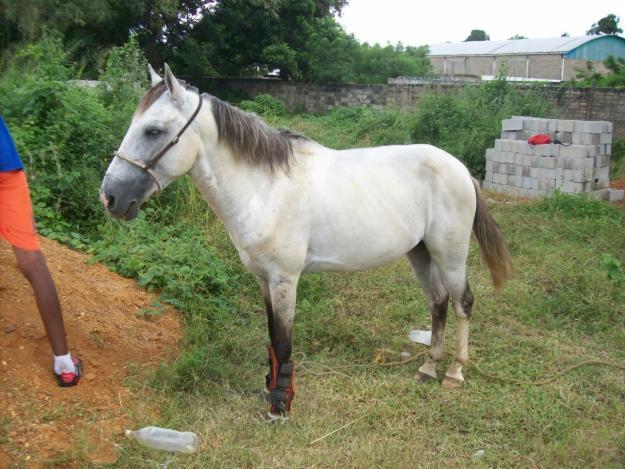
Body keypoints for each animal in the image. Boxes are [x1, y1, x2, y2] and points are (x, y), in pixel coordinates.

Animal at [101, 64, 512, 418]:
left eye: (153, 131)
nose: (111, 198)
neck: (265, 189)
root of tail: (460, 169)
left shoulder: (285, 280)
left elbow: (284, 342)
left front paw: (280, 405)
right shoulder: (263, 280)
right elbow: (271, 338)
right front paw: (270, 388)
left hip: (450, 254)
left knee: (462, 303)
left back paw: (454, 374)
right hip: (420, 254)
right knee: (438, 303)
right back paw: (427, 368)